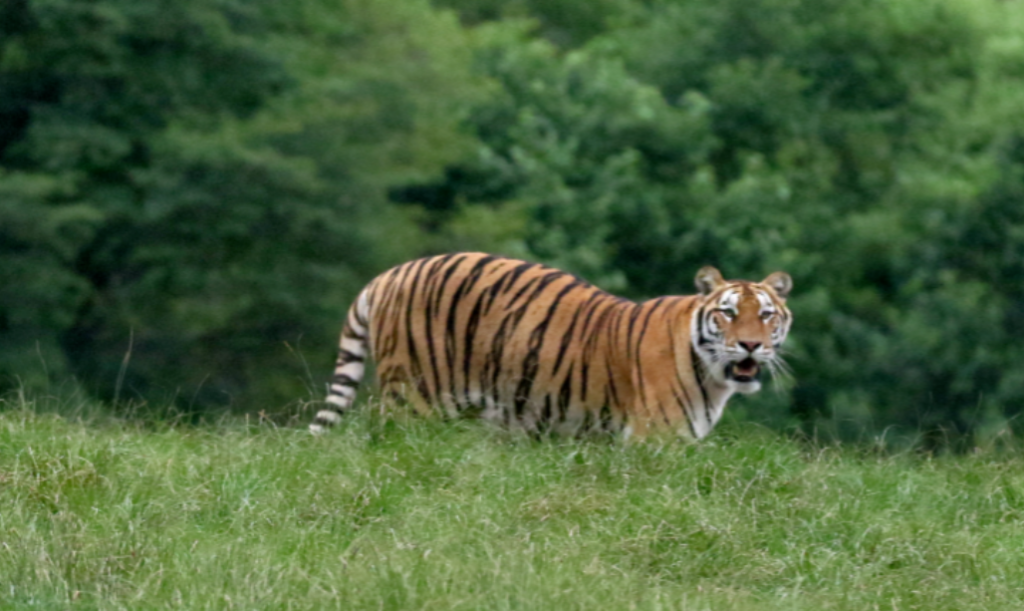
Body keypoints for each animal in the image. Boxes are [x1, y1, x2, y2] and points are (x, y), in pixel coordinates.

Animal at [309, 252, 790, 438]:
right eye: (728, 312)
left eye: (766, 315)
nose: (750, 345)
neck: (713, 378)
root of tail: (389, 274)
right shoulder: (655, 443)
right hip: (414, 399)